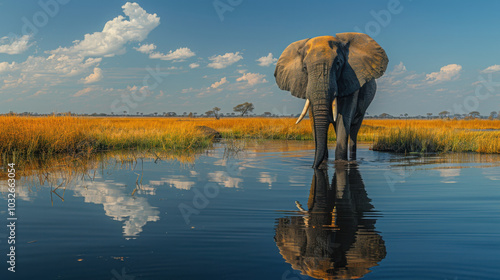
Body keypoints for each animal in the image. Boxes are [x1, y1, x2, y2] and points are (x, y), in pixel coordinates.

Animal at [276, 32, 388, 168]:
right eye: (304, 68)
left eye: (338, 63)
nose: (313, 167)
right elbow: (313, 119)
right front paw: (323, 162)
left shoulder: (351, 80)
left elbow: (344, 117)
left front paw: (340, 163)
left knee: (354, 131)